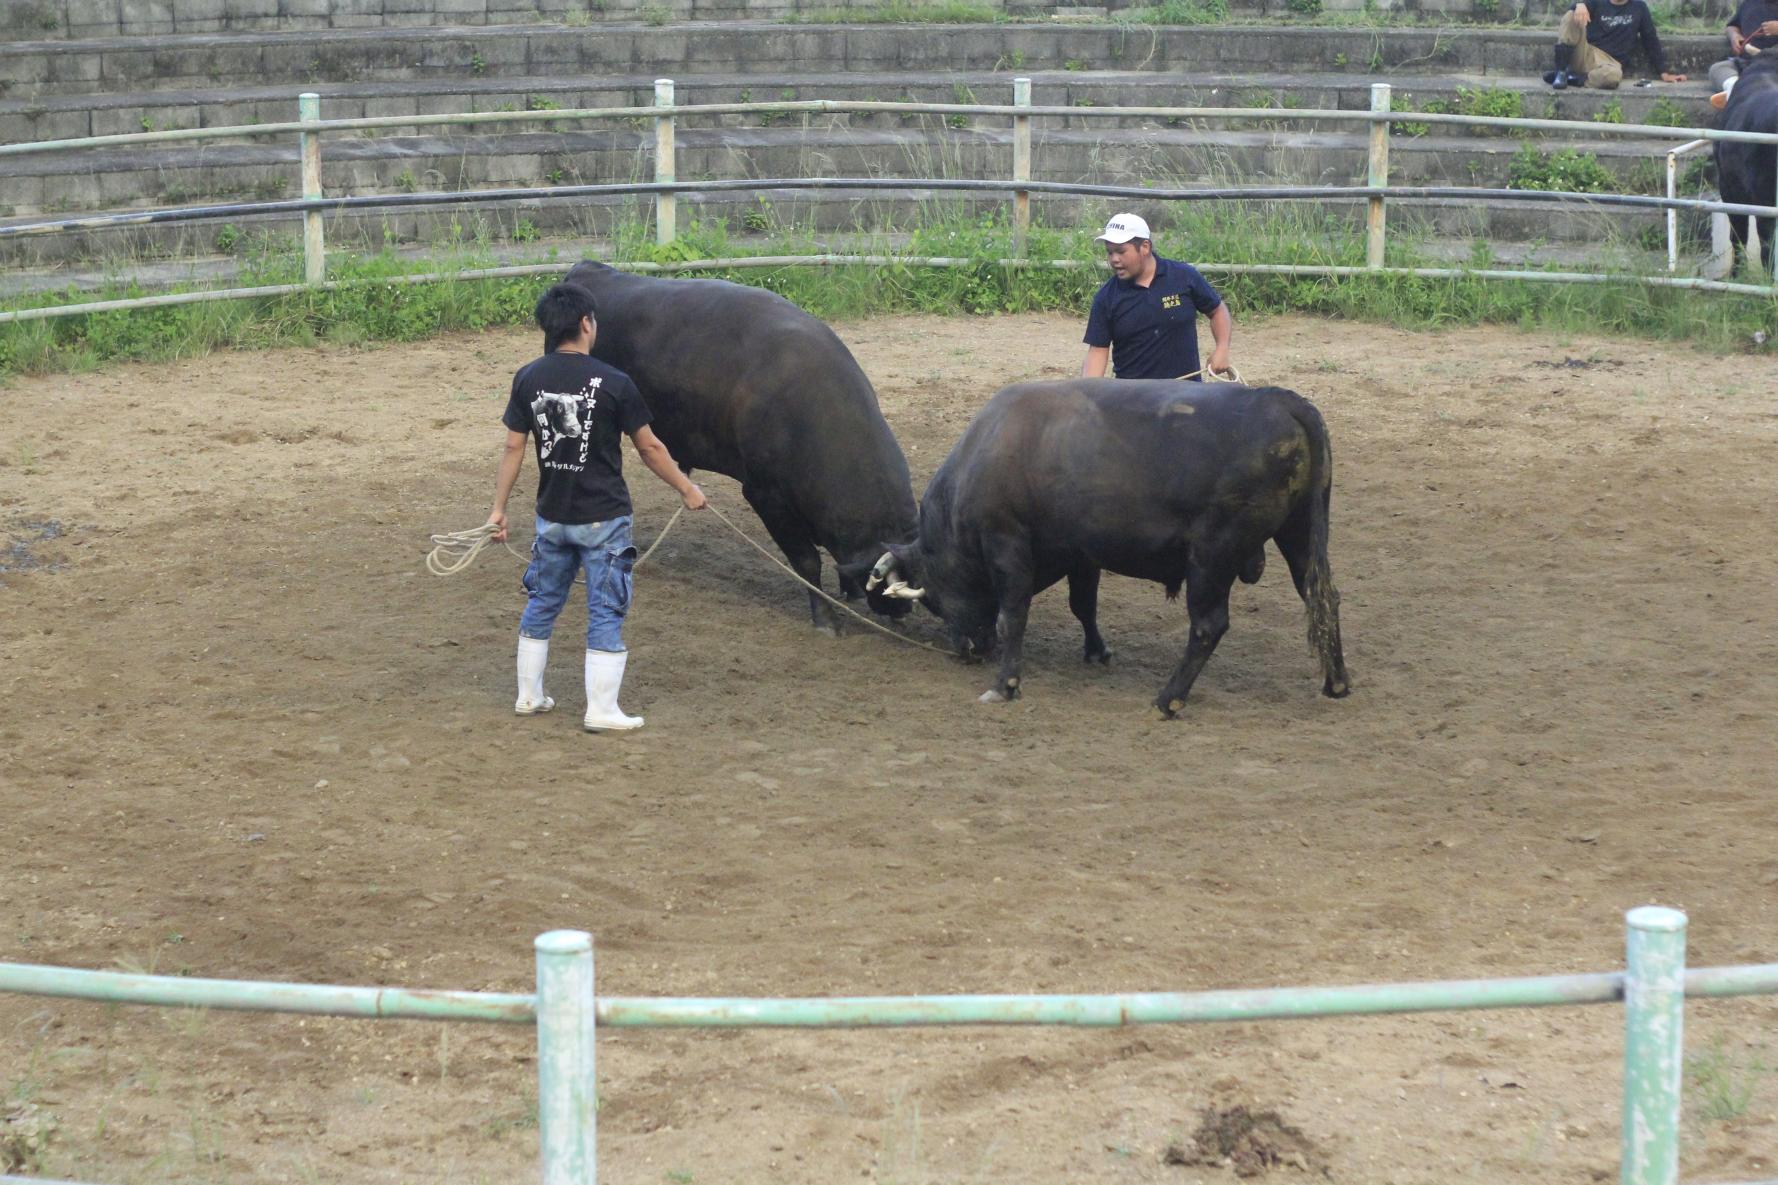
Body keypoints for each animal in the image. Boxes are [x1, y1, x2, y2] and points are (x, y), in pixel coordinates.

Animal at [867, 378, 1351, 711]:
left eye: (933, 601)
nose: (966, 650)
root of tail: (1280, 399)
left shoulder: (1007, 543)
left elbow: (1012, 616)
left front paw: (1005, 685)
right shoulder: (1081, 554)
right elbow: (1084, 605)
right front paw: (1097, 651)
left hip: (1212, 557)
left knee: (1208, 625)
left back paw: (1168, 699)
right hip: (1300, 537)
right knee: (1324, 599)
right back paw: (1336, 683)